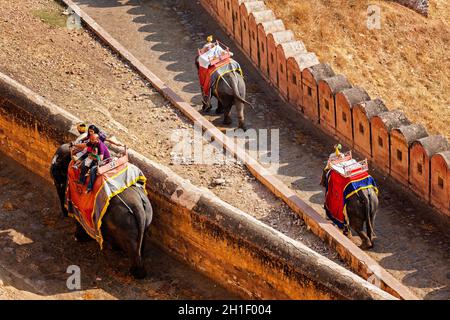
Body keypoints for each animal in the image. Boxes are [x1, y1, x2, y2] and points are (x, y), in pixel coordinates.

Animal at [50, 144, 153, 278]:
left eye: (57, 177)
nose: (64, 213)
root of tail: (138, 206)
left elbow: (79, 219)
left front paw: (78, 238)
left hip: (124, 224)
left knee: (131, 245)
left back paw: (136, 273)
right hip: (147, 216)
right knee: (141, 237)